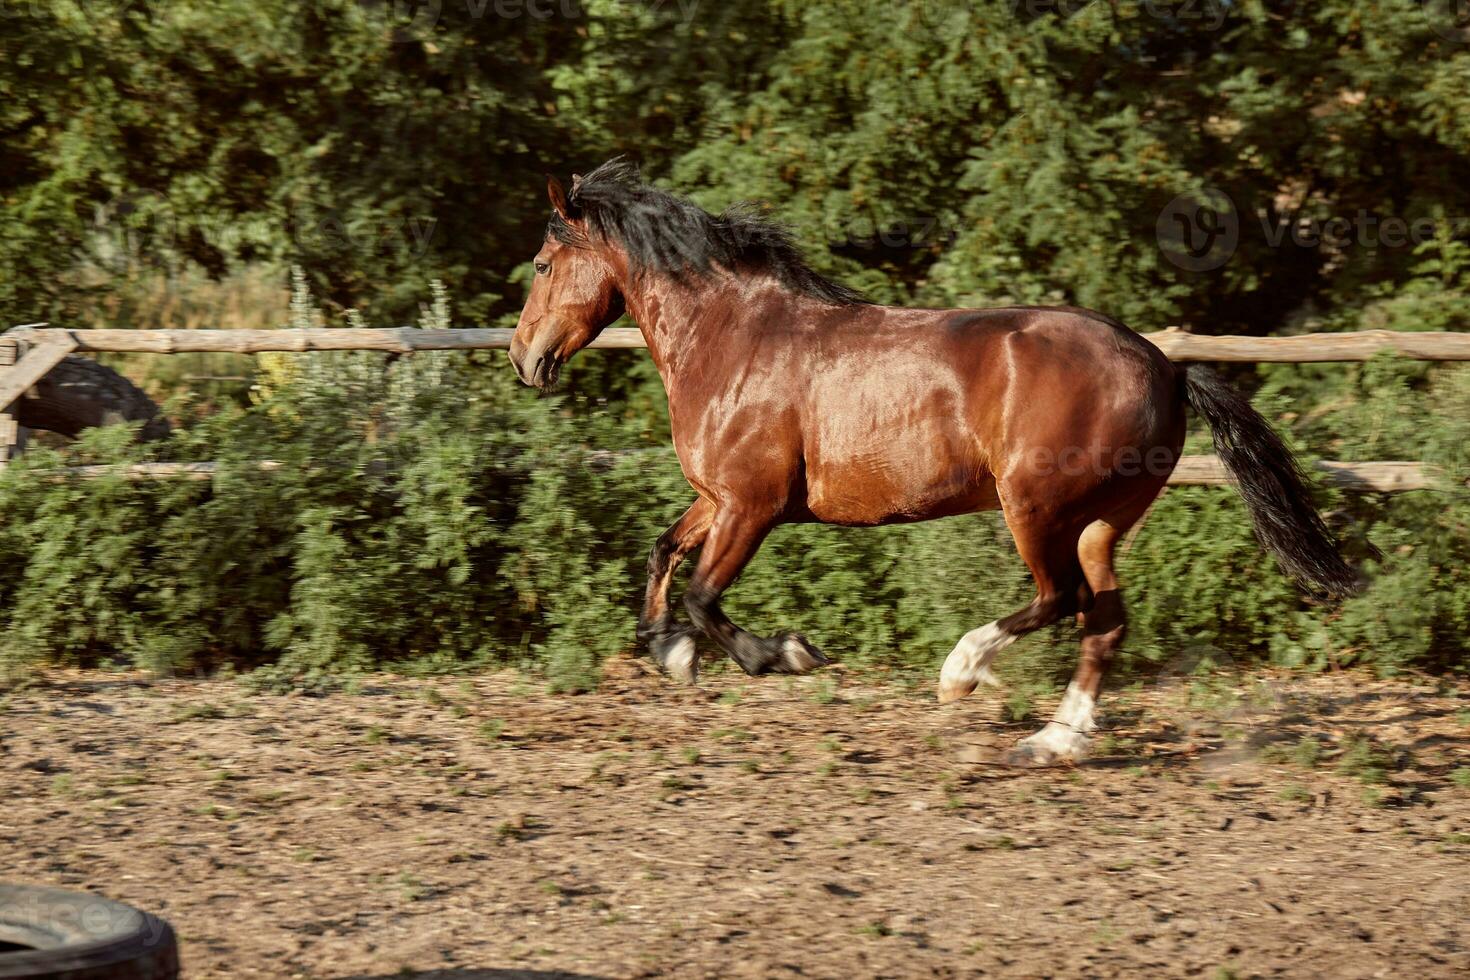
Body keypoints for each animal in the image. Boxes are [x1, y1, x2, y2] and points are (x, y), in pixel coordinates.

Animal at [508, 160, 1352, 764]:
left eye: (544, 265)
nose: (524, 360)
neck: (734, 338)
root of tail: (1168, 369)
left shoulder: (752, 505)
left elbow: (704, 596)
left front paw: (784, 654)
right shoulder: (717, 499)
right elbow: (661, 554)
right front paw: (671, 654)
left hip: (1034, 507)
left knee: (1062, 600)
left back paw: (963, 672)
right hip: (1102, 520)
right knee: (1105, 621)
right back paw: (1054, 742)